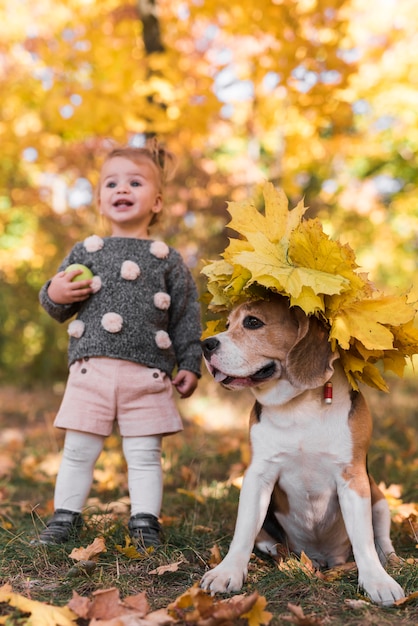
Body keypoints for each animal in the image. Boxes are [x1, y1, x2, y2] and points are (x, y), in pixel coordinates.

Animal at [201, 296, 404, 604]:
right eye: (227, 324)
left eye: (252, 322)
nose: (205, 344)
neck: (299, 406)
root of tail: (324, 557)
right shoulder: (258, 477)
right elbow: (243, 532)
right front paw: (227, 572)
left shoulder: (353, 478)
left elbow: (364, 539)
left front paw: (377, 581)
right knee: (267, 542)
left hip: (378, 497)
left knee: (381, 539)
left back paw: (391, 561)